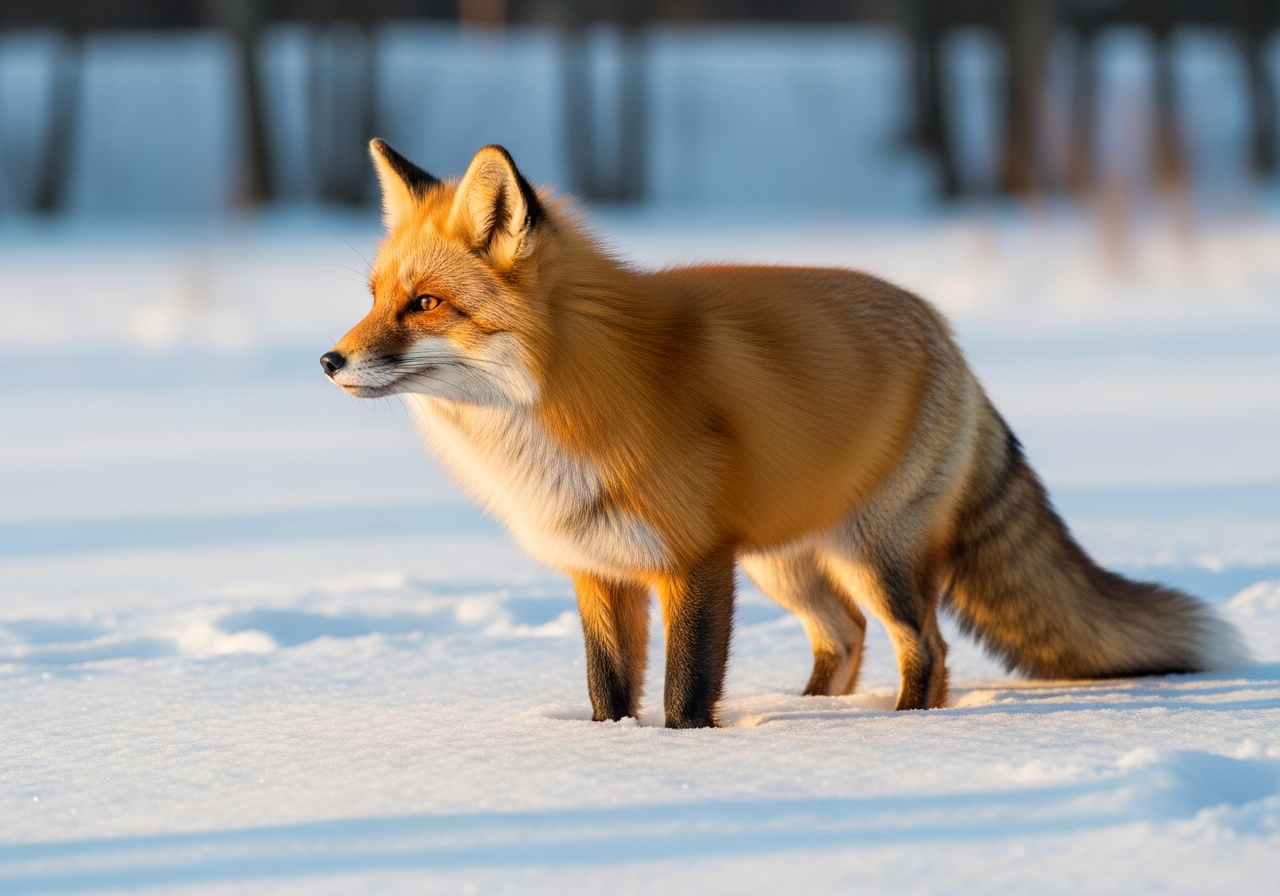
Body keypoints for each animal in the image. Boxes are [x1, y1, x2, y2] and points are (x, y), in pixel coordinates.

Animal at [321, 140, 1247, 729]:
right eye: (373, 297)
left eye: (425, 304)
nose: (329, 360)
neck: (564, 402)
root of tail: (944, 330)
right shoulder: (599, 569)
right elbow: (608, 692)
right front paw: (610, 752)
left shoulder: (694, 562)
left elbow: (685, 694)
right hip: (784, 562)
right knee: (845, 637)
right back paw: (801, 714)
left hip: (875, 556)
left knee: (926, 646)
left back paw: (909, 732)